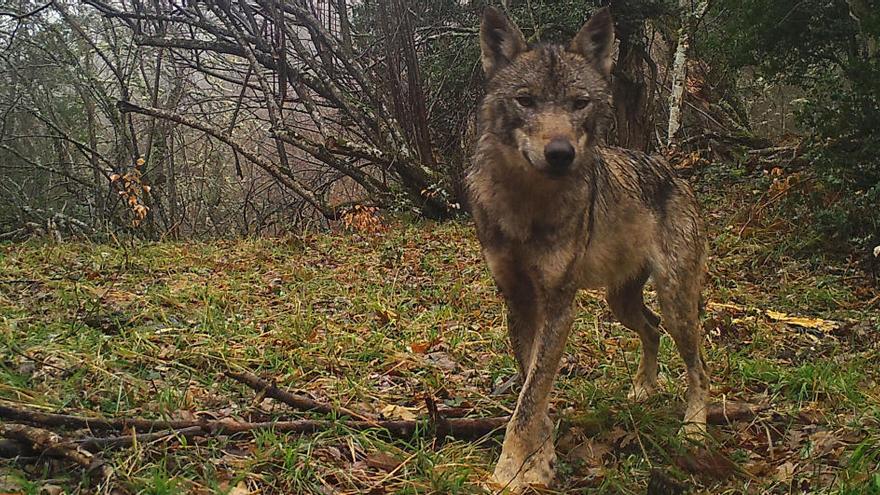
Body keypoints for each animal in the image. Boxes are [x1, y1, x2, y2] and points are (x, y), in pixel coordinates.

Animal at [468, 7, 708, 492]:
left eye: (579, 103)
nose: (560, 153)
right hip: (622, 302)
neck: (527, 205)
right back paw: (643, 390)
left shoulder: (559, 306)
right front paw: (539, 459)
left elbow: (530, 396)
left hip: (675, 302)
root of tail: (677, 175)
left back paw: (694, 426)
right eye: (526, 100)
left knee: (699, 366)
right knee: (651, 330)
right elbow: (533, 389)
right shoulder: (519, 301)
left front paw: (510, 469)